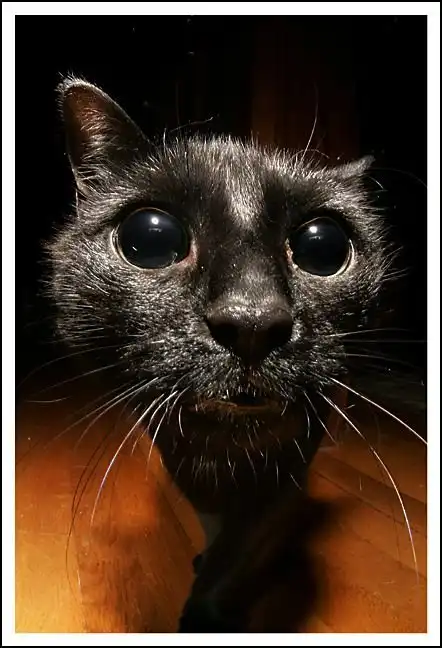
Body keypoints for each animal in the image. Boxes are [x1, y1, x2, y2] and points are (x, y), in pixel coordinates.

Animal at [48, 77, 399, 632]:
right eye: (149, 239)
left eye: (324, 247)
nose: (251, 318)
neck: (225, 449)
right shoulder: (178, 457)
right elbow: (214, 523)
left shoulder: (288, 469)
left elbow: (243, 546)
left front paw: (210, 609)